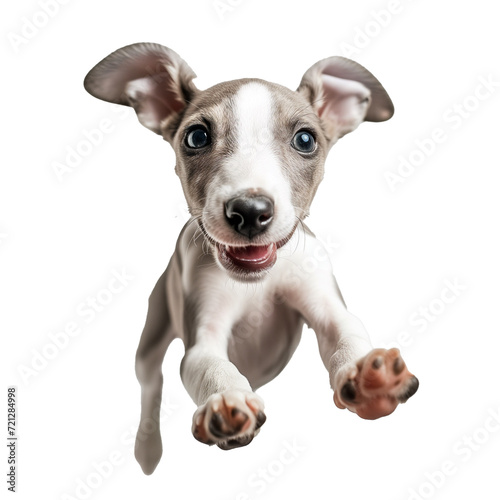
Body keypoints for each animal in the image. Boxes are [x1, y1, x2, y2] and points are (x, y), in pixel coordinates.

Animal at [85, 42, 418, 472]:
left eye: (306, 140)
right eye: (196, 136)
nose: (249, 212)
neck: (258, 281)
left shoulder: (324, 301)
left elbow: (345, 331)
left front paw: (369, 375)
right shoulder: (202, 333)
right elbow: (209, 364)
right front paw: (226, 400)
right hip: (153, 331)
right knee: (149, 385)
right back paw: (147, 449)